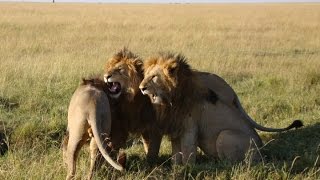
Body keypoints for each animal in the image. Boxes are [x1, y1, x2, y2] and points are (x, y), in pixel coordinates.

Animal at [140, 52, 302, 165]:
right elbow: (176, 154)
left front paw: (187, 168)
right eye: (145, 76)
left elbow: (187, 152)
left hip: (225, 135)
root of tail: (262, 154)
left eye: (154, 77)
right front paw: (175, 168)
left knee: (234, 163)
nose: (141, 88)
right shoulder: (175, 128)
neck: (170, 101)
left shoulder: (189, 128)